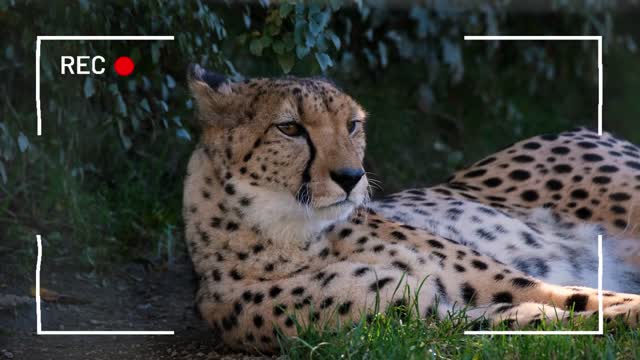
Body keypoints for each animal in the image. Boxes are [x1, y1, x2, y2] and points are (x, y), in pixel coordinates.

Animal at [182, 63, 640, 352]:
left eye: (352, 125)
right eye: (290, 128)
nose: (351, 177)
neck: (287, 238)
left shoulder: (510, 284)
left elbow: (588, 296)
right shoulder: (432, 319)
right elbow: (560, 317)